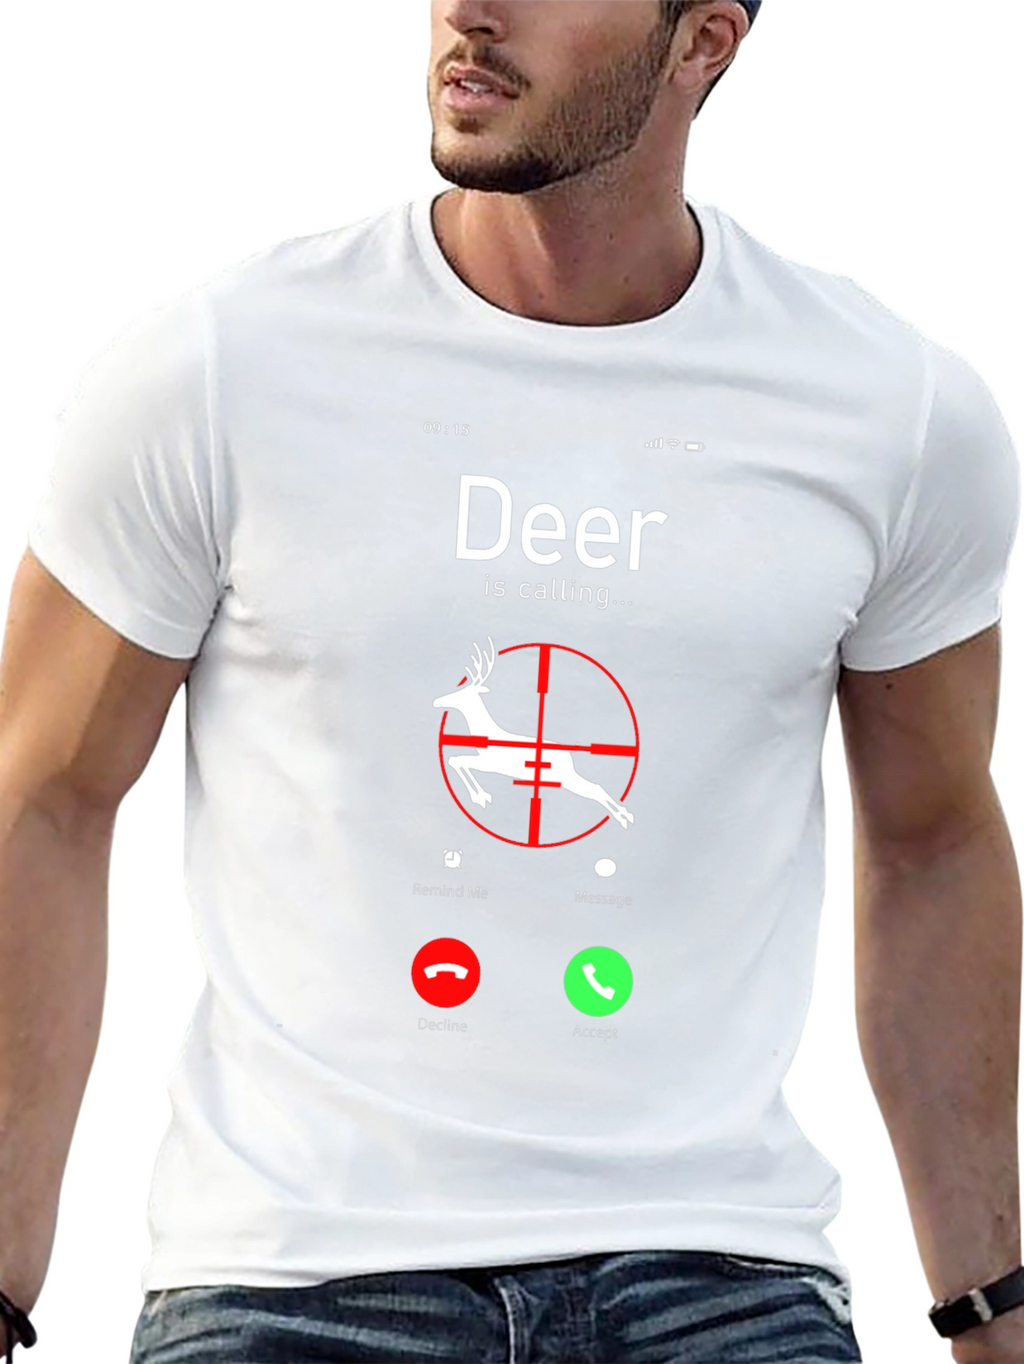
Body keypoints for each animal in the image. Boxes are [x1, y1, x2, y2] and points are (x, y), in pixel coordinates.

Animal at [432, 638, 634, 831]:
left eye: (461, 692)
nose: (435, 701)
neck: (487, 735)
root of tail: (569, 752)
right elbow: (455, 760)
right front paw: (482, 796)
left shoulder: (491, 763)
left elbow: (455, 760)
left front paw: (481, 797)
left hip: (565, 777)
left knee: (595, 789)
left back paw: (625, 817)